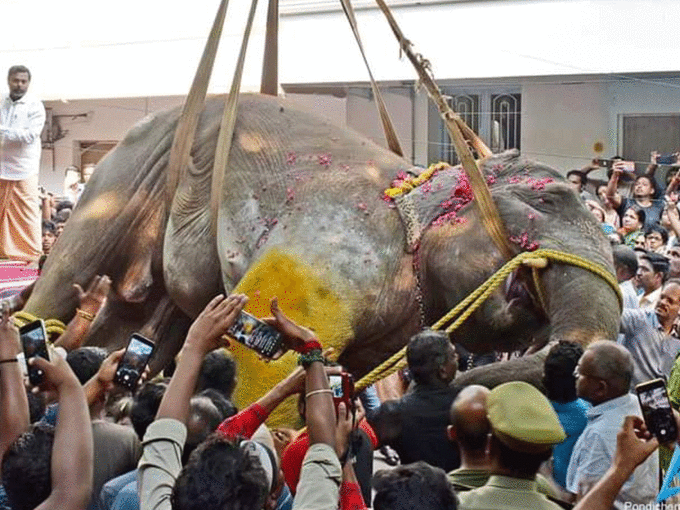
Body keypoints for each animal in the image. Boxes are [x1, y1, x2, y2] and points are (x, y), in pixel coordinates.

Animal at [23, 94, 620, 422]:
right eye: (547, 200)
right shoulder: (329, 252)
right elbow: (266, 372)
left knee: (146, 318)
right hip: (125, 173)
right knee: (68, 275)